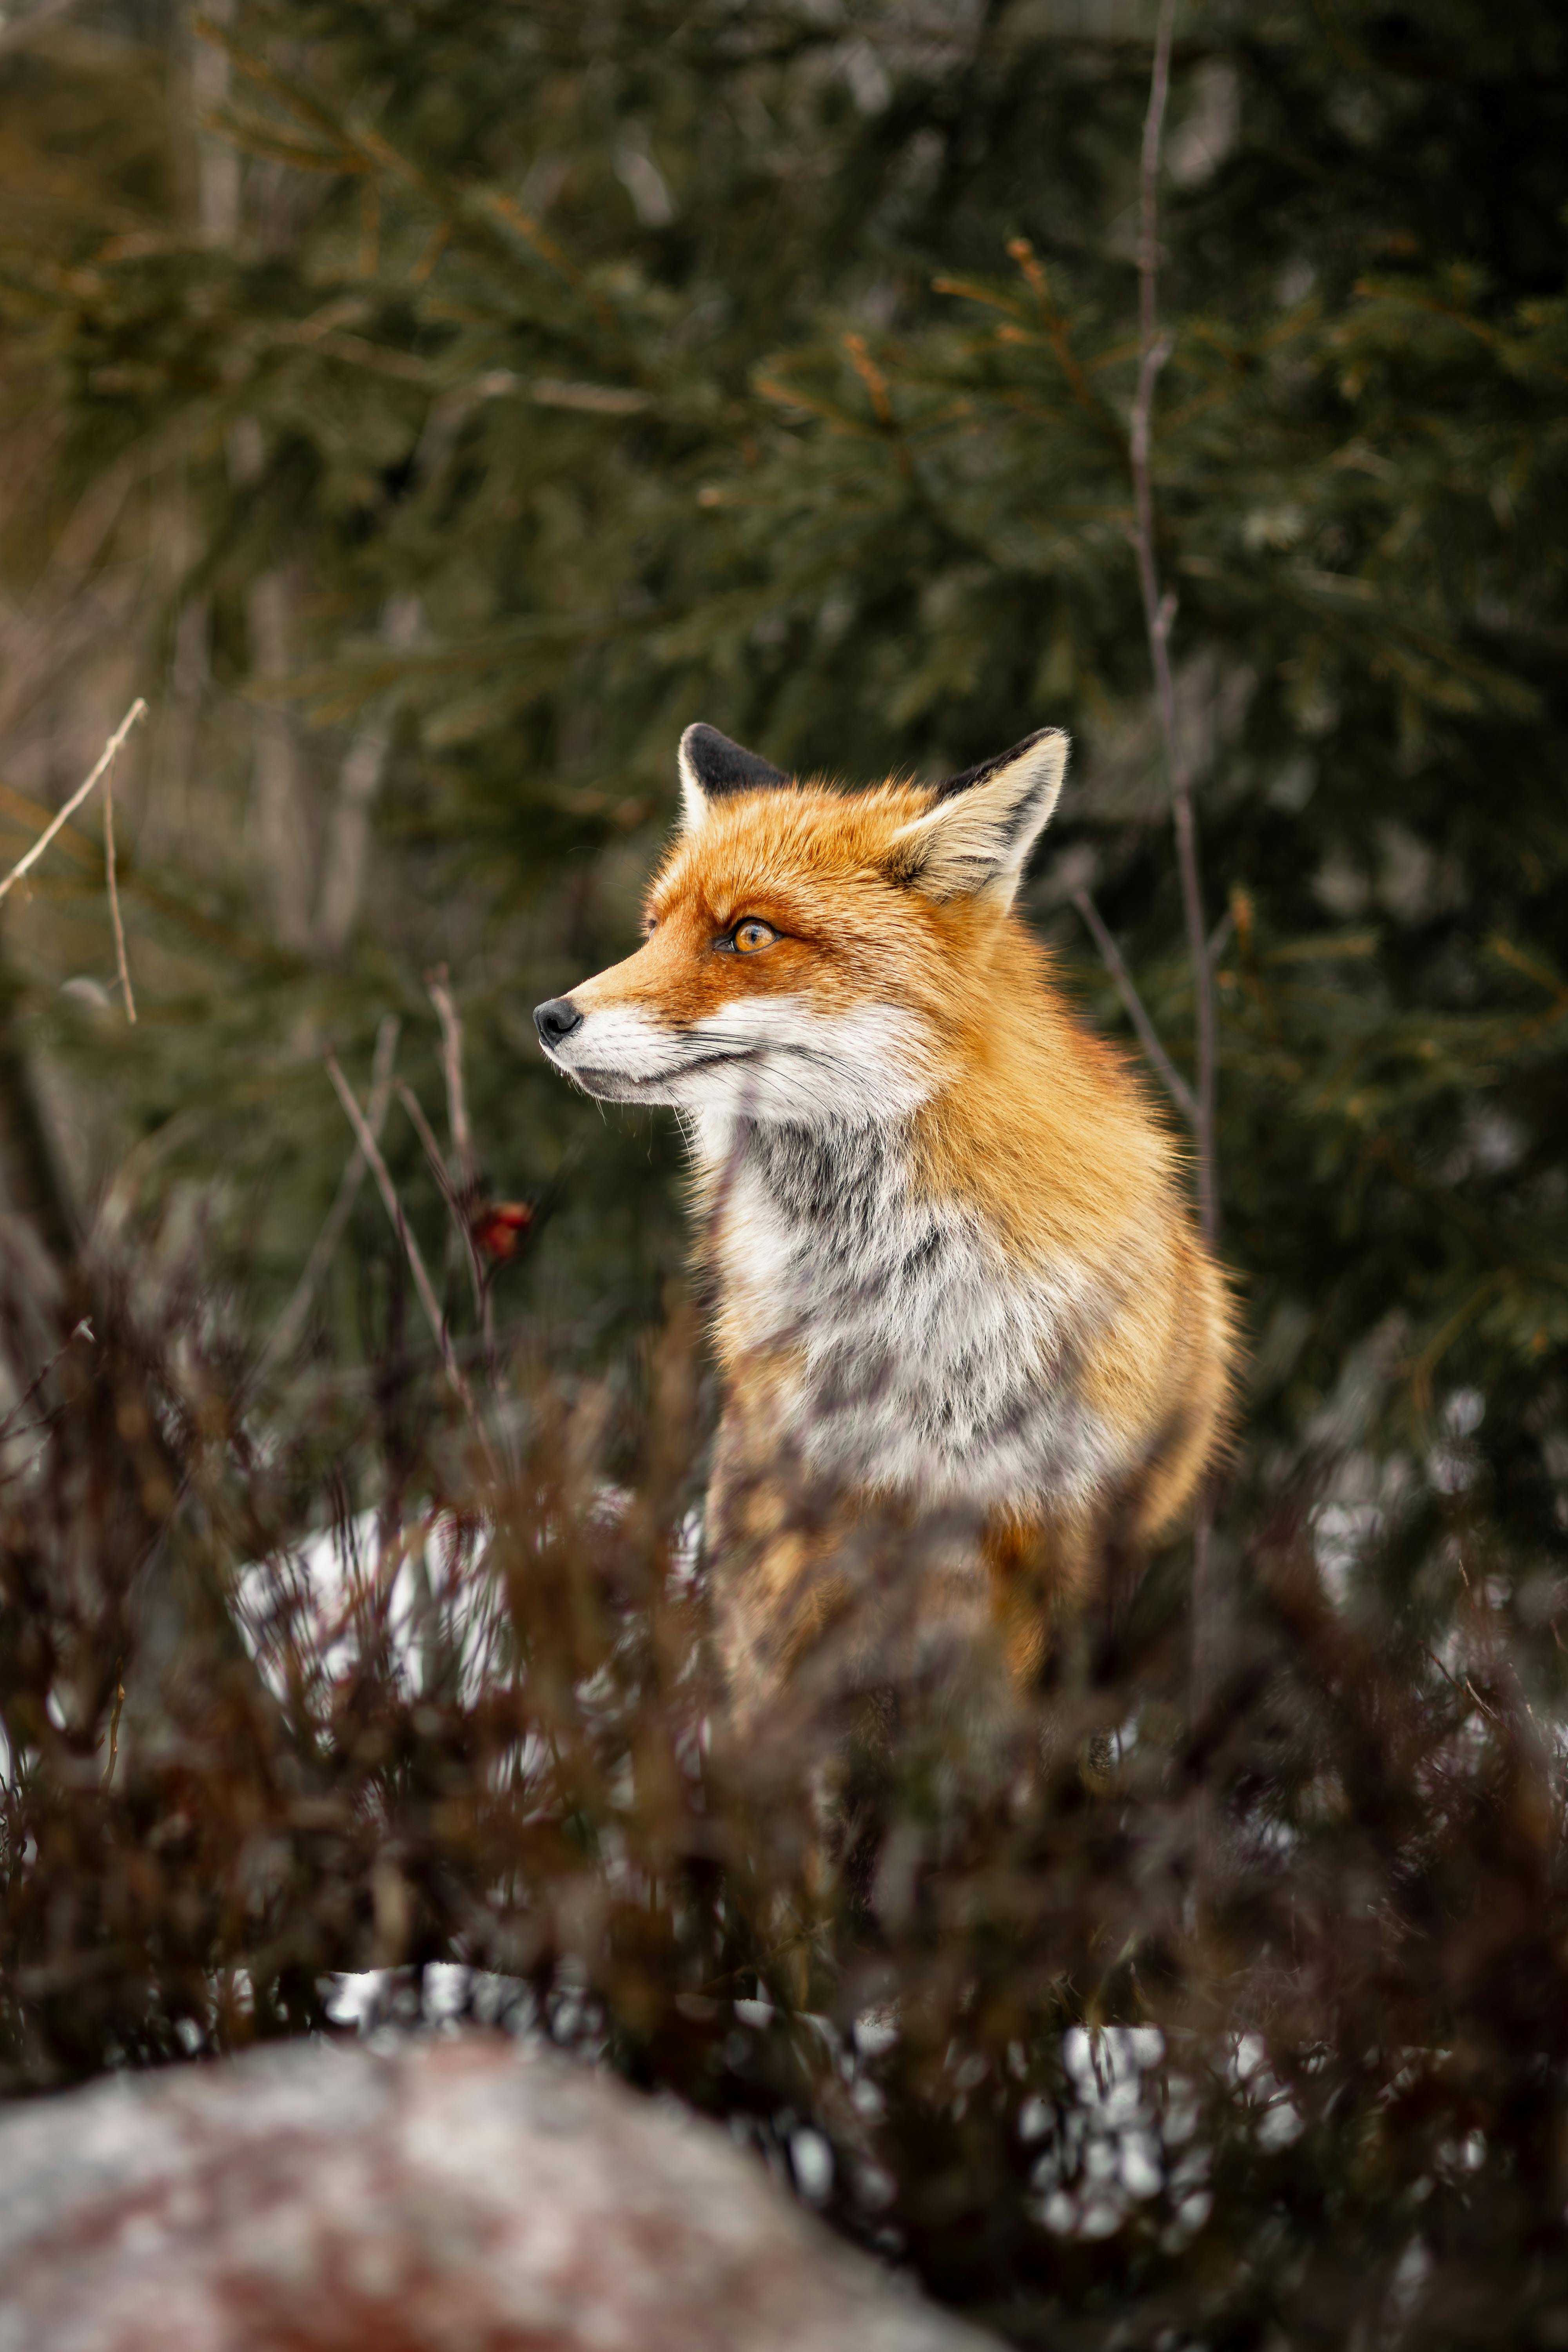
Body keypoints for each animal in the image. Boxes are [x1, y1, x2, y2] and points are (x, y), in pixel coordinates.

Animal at [534, 722, 1234, 1732]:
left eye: (749, 934)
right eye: (653, 929)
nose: (550, 1018)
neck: (904, 1312)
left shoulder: (1043, 1537)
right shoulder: (809, 1544)